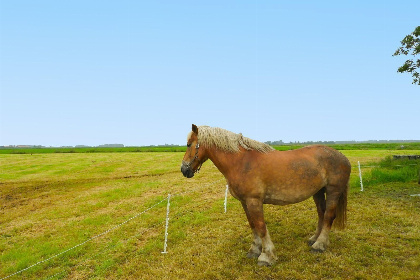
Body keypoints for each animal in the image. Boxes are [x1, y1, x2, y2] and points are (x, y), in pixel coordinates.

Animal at [180, 124, 352, 264]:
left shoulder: (254, 201)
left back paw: (319, 245)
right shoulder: (245, 202)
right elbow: (253, 225)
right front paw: (254, 250)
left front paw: (267, 256)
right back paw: (314, 239)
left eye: (189, 144)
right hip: (318, 192)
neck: (241, 162)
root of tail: (343, 157)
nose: (184, 169)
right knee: (321, 214)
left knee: (328, 216)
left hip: (333, 190)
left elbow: (261, 227)